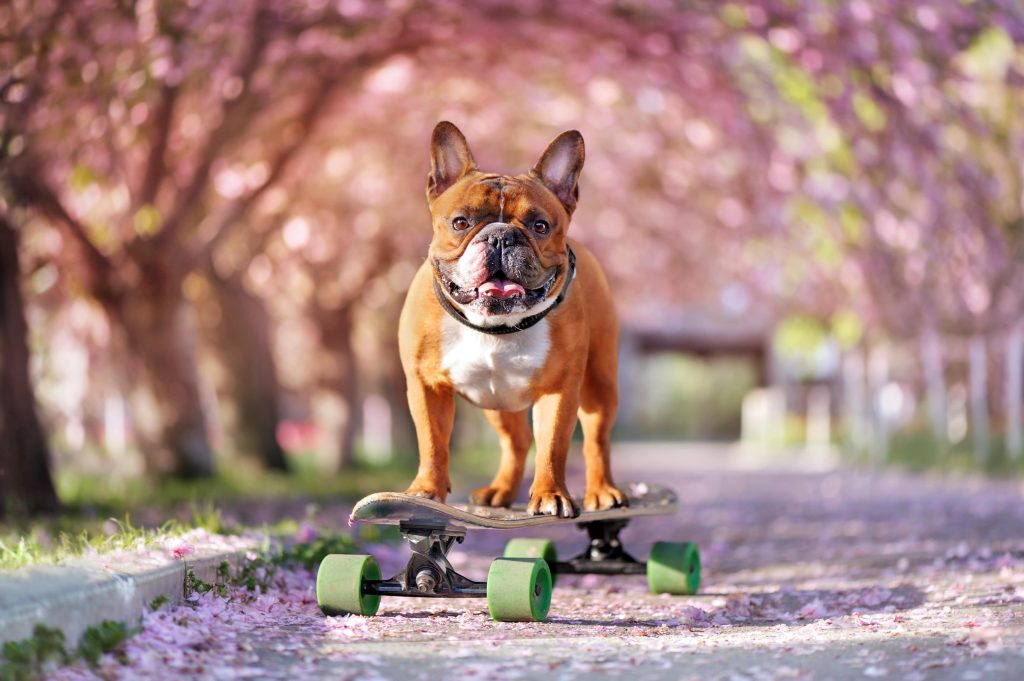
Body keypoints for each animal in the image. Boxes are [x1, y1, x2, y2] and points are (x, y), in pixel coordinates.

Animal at [397, 122, 622, 516]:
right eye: (461, 222)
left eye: (541, 226)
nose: (501, 236)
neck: (495, 327)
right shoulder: (426, 386)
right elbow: (432, 443)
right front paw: (425, 491)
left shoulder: (560, 389)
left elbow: (552, 445)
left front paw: (549, 494)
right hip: (496, 402)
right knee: (515, 441)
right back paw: (499, 491)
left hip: (599, 383)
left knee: (596, 438)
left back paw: (602, 490)